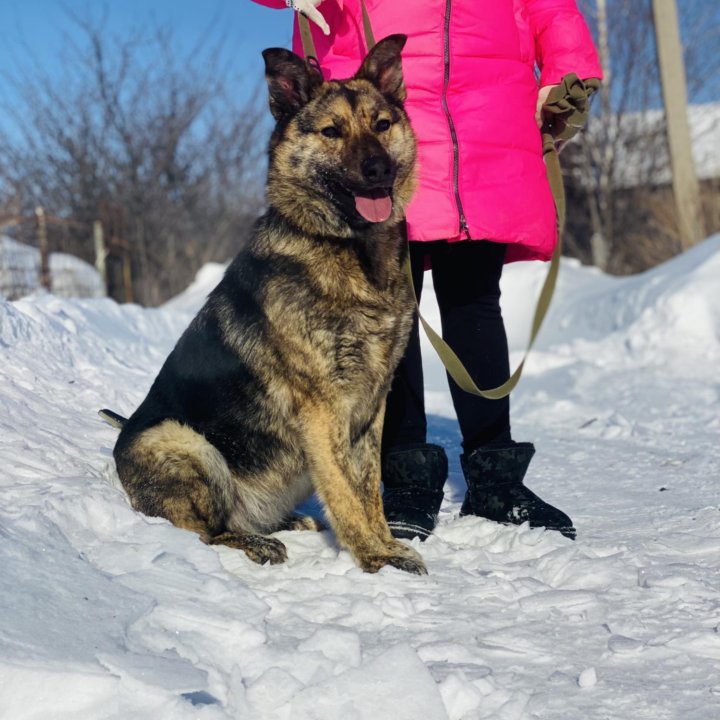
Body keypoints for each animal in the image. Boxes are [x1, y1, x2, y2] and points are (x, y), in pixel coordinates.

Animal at [112, 35, 424, 572]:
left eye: (382, 125)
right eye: (331, 131)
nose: (379, 169)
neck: (347, 249)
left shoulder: (370, 410)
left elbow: (368, 490)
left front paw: (384, 544)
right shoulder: (323, 411)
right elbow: (345, 493)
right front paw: (373, 559)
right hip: (185, 442)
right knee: (205, 533)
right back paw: (254, 542)